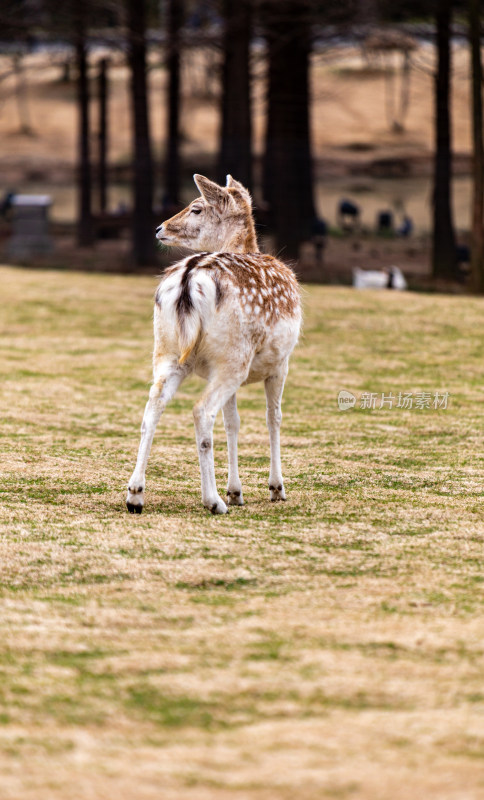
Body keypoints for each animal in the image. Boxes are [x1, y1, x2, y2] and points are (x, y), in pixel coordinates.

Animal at [126, 172, 300, 516]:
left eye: (196, 208)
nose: (159, 228)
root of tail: (188, 279)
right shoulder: (281, 363)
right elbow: (273, 418)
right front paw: (275, 488)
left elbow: (233, 422)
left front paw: (237, 491)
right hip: (233, 356)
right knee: (202, 411)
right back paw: (213, 501)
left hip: (168, 351)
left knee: (152, 406)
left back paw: (135, 495)